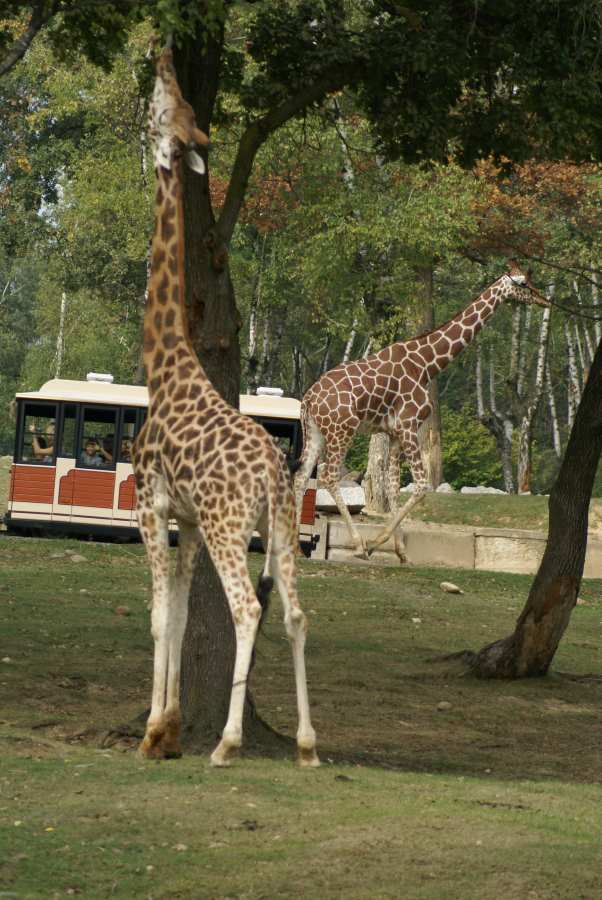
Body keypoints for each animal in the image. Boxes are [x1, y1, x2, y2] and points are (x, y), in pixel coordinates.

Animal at [133, 48, 318, 768]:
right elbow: (181, 615)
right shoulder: (183, 518)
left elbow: (160, 614)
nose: (160, 56)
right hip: (280, 528)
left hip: (228, 525)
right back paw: (308, 745)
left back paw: (230, 742)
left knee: (248, 609)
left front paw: (155, 733)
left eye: (164, 106)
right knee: (294, 613)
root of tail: (271, 468)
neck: (161, 367)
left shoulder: (152, 503)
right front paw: (168, 728)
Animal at [294, 264, 549, 560]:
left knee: (301, 477)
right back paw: (356, 544)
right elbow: (421, 486)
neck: (427, 364)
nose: (544, 300)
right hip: (342, 431)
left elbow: (393, 488)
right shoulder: (409, 425)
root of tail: (308, 400)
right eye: (524, 283)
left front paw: (399, 550)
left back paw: (295, 547)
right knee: (328, 476)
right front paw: (376, 542)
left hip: (315, 432)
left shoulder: (394, 432)